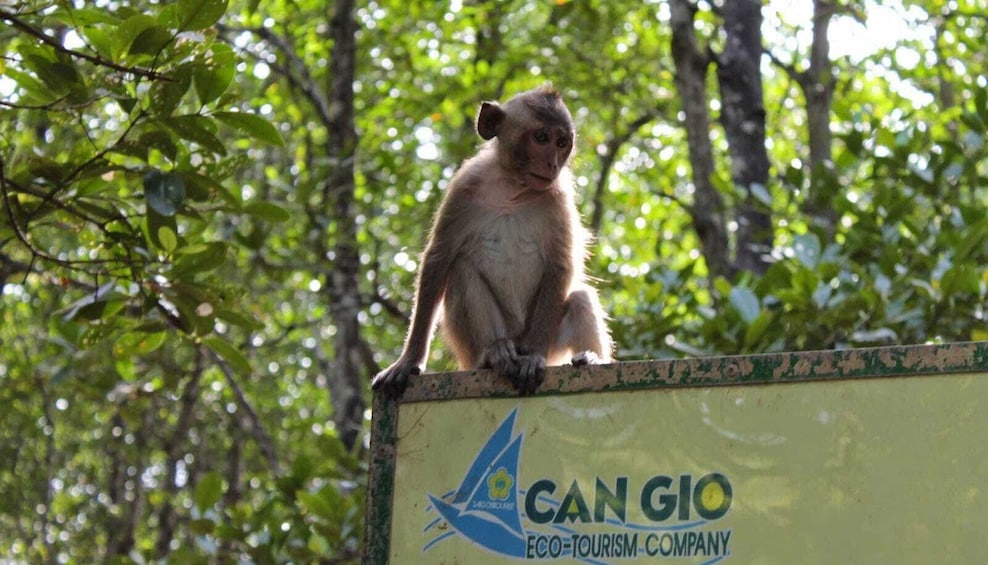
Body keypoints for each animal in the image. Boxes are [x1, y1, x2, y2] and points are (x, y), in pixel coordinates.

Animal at [372, 87, 608, 396]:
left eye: (562, 143)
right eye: (541, 138)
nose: (552, 163)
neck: (512, 187)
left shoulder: (559, 198)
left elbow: (560, 266)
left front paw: (534, 357)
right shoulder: (463, 188)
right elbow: (439, 258)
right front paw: (408, 361)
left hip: (549, 344)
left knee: (580, 297)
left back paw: (589, 358)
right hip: (474, 345)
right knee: (461, 271)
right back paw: (493, 355)